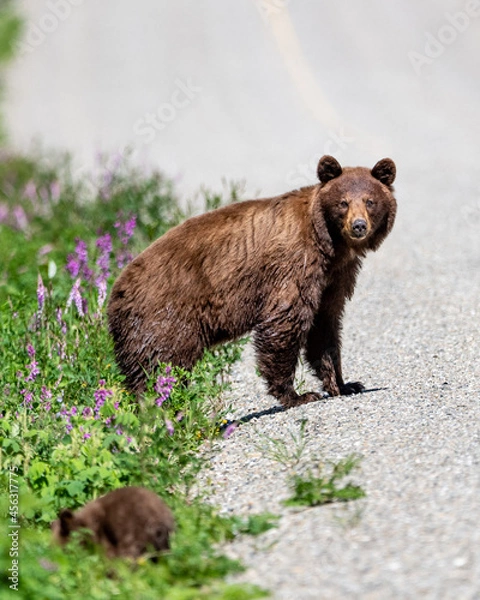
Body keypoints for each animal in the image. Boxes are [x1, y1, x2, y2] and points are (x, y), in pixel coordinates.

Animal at [109, 155, 398, 410]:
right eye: (343, 203)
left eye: (370, 201)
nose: (358, 226)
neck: (331, 245)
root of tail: (114, 294)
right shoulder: (294, 265)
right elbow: (285, 320)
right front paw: (298, 394)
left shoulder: (334, 278)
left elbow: (325, 325)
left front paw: (345, 384)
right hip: (166, 318)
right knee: (160, 365)